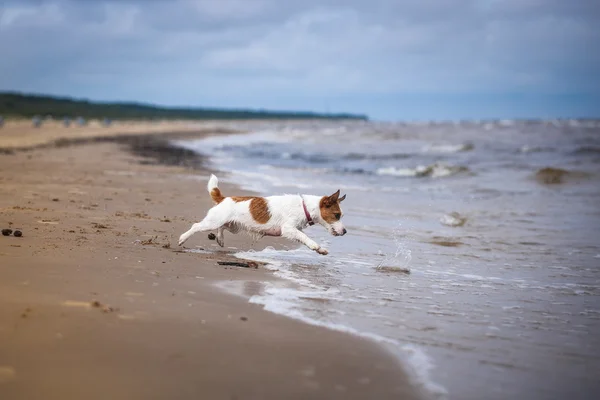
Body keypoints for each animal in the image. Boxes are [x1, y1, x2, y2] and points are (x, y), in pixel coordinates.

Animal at [177, 173, 346, 255]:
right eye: (337, 215)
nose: (345, 231)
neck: (304, 206)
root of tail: (224, 199)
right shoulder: (288, 229)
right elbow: (305, 237)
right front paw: (315, 246)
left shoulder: (294, 230)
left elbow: (303, 237)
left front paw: (321, 250)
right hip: (213, 221)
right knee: (197, 226)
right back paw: (183, 238)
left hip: (233, 226)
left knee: (222, 228)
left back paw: (220, 239)